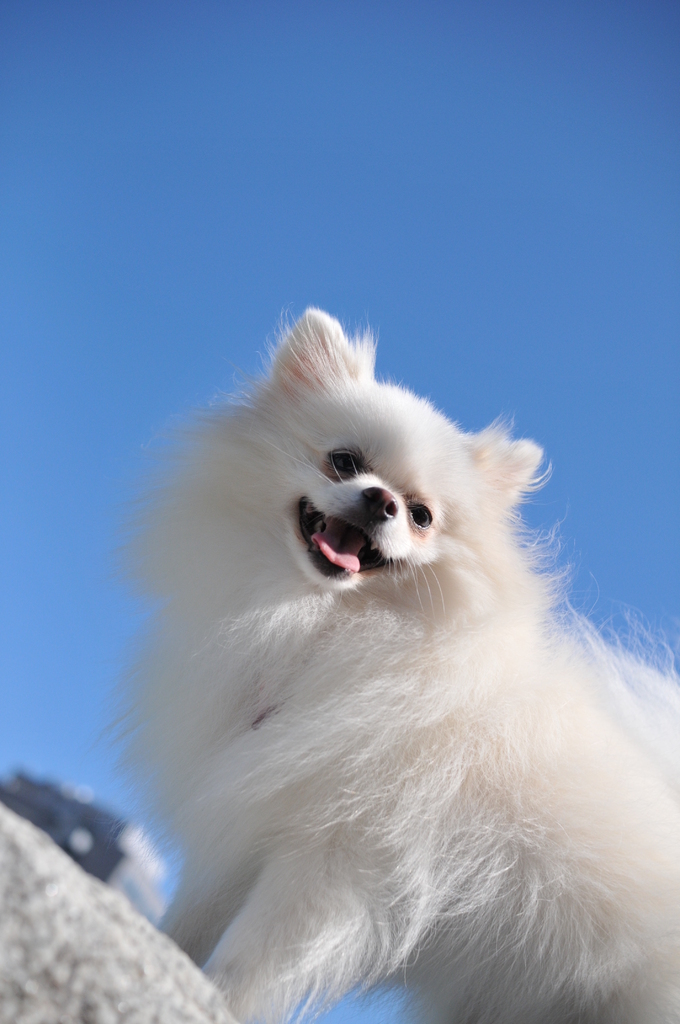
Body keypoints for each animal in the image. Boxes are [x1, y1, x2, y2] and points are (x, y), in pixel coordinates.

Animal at [122, 309, 680, 1024]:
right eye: (344, 461)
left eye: (421, 515)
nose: (381, 501)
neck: (319, 628)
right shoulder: (241, 820)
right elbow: (189, 925)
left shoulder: (339, 861)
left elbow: (247, 961)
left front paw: (213, 1000)